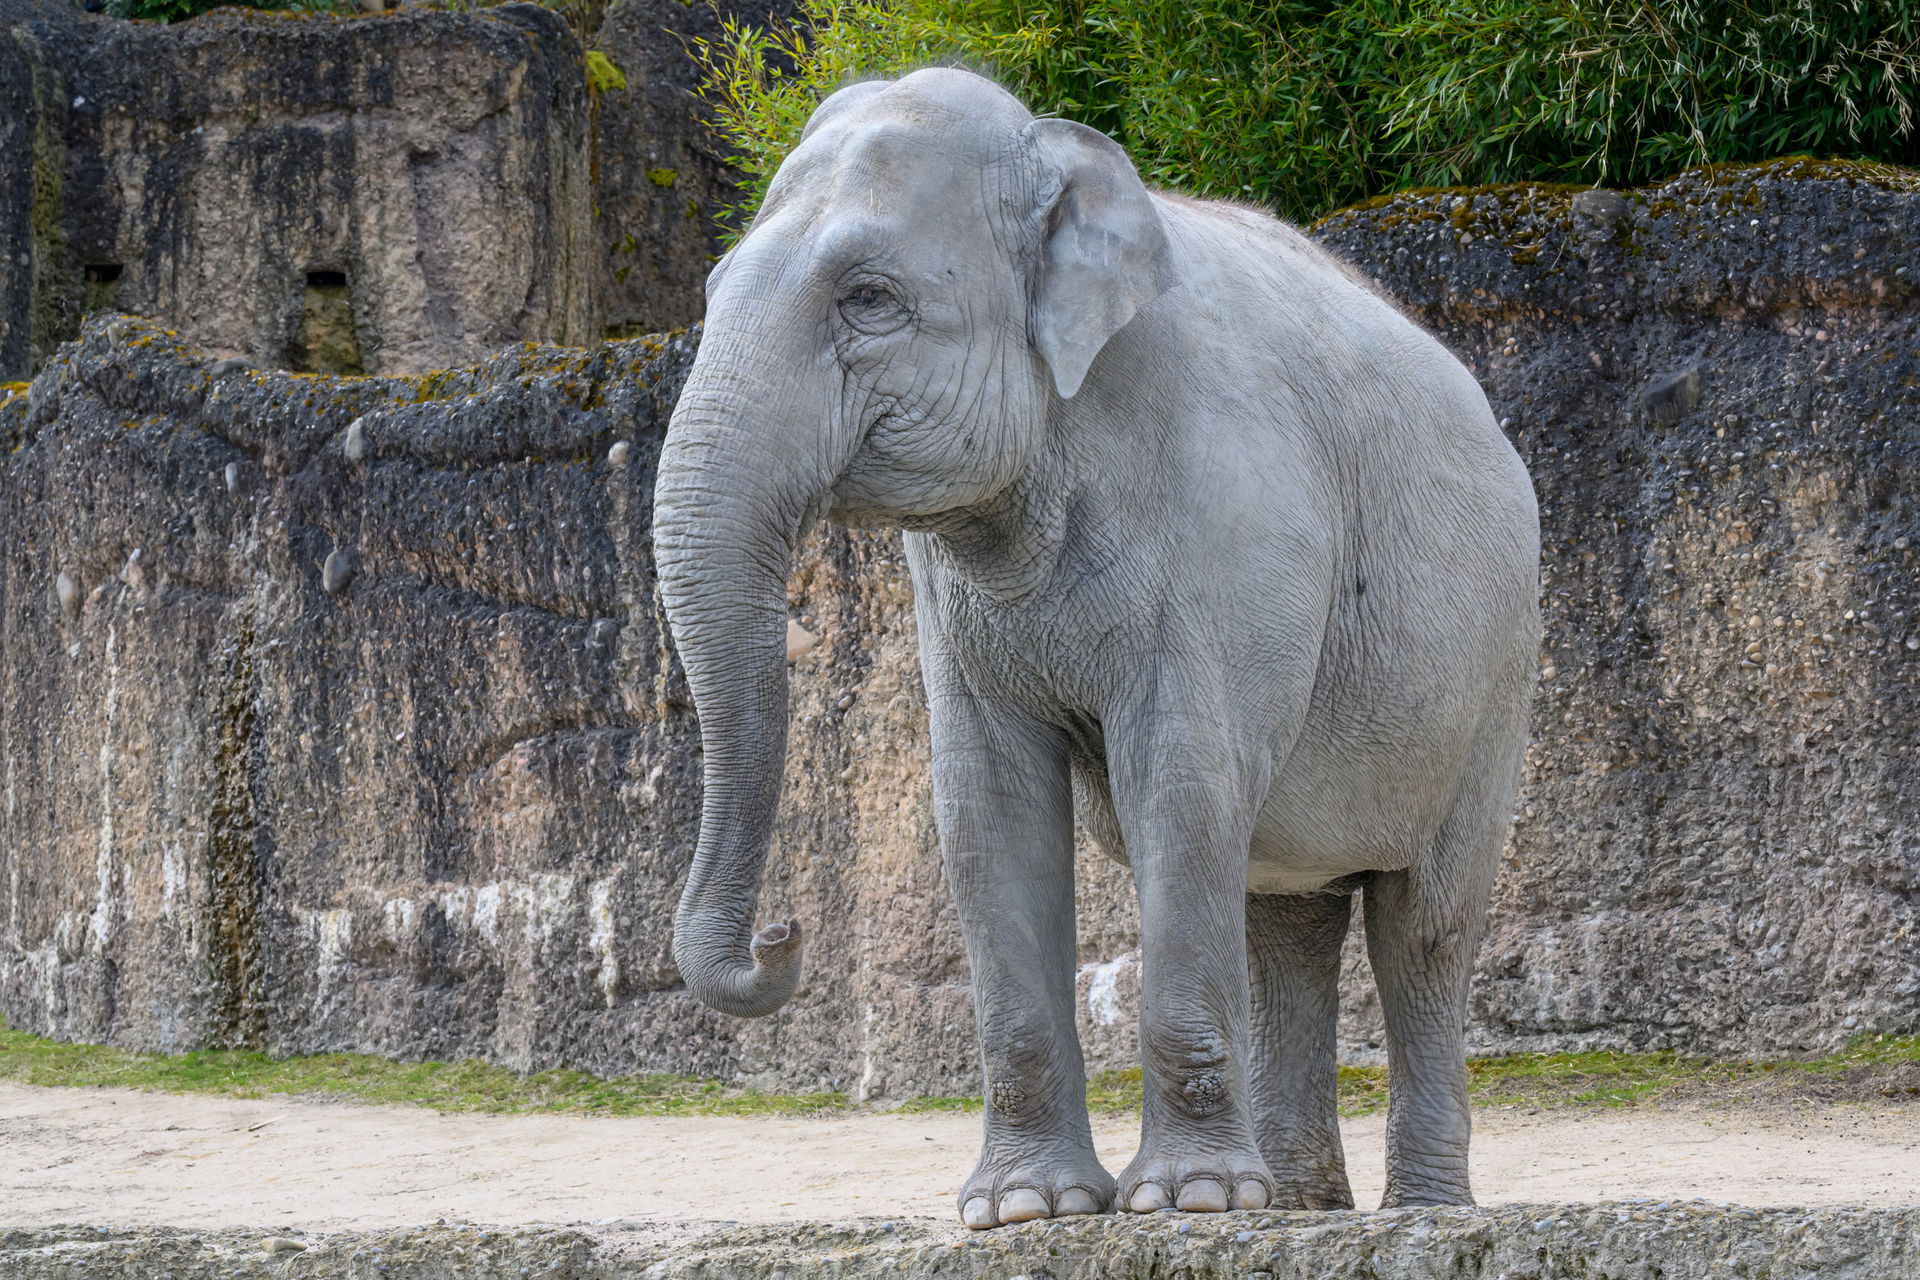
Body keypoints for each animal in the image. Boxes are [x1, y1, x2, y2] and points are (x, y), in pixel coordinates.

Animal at [650, 68, 1539, 1228]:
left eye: (869, 298)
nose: (782, 935)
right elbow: (987, 808)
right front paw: (1029, 1212)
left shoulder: (1226, 517)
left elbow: (1183, 782)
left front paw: (1191, 1202)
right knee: (1286, 922)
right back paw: (1298, 1206)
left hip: (1496, 667)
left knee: (1423, 924)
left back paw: (1417, 1213)